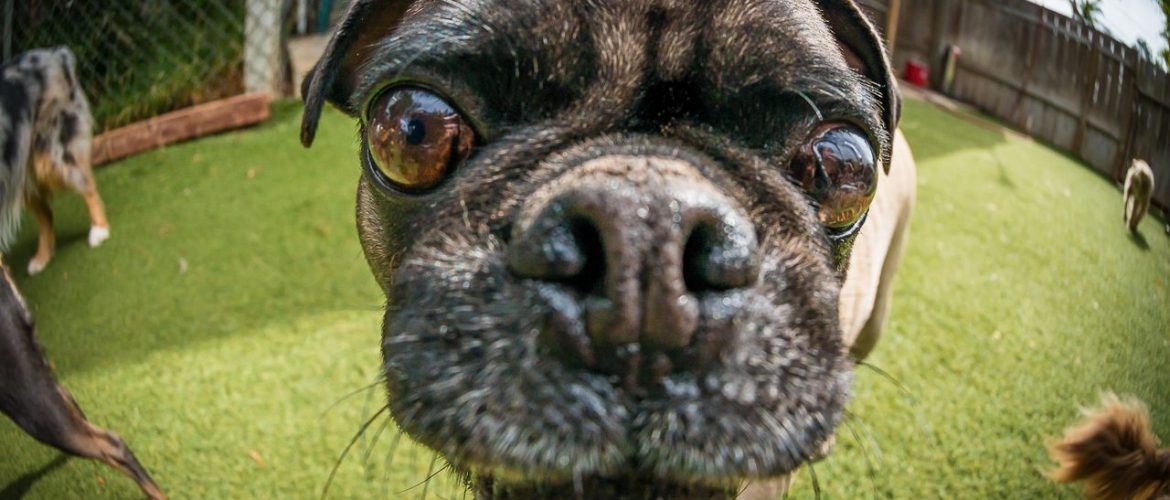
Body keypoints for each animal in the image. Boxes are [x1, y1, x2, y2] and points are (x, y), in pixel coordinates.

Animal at [0, 46, 109, 275]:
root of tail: (56, 53)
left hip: (53, 156)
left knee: (87, 185)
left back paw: (99, 230)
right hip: (20, 174)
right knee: (46, 213)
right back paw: (42, 257)